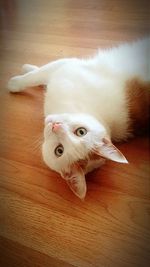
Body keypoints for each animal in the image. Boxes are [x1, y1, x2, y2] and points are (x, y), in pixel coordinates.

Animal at [7, 38, 149, 200]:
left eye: (59, 150)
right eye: (82, 132)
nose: (56, 125)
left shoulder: (68, 67)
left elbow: (35, 76)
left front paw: (15, 83)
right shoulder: (65, 68)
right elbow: (40, 74)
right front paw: (28, 67)